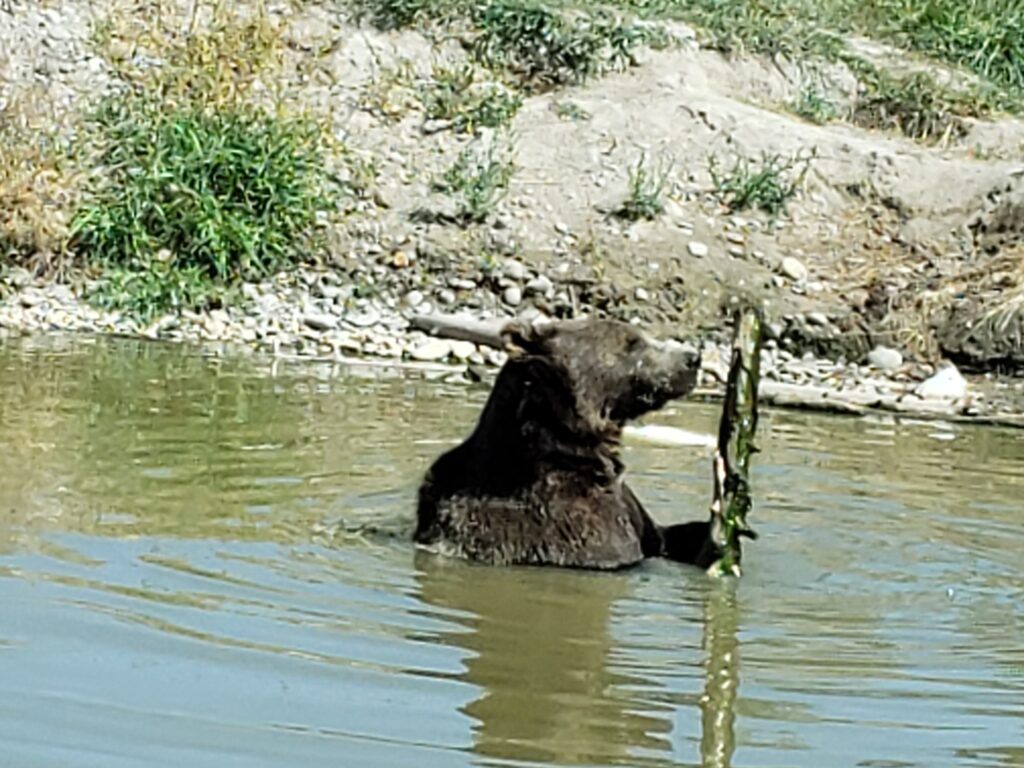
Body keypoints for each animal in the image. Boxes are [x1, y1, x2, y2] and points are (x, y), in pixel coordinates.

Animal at [413, 319, 720, 573]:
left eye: (641, 335)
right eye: (632, 342)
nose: (692, 358)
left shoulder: (629, 507)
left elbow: (663, 536)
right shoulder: (574, 521)